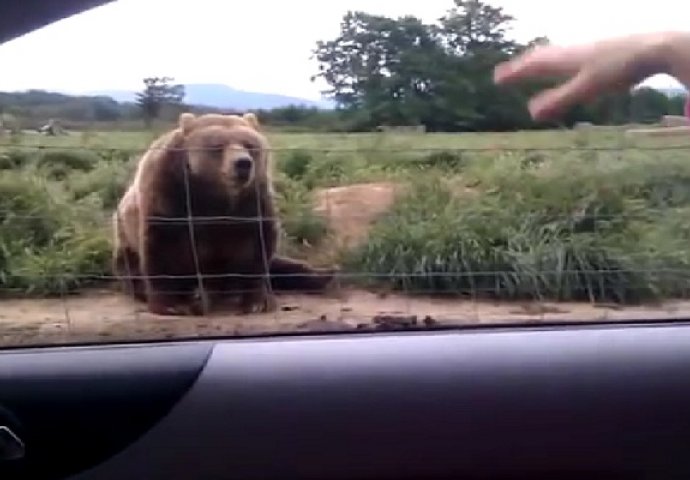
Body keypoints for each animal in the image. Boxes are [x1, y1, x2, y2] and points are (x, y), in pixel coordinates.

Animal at [113, 110, 336, 316]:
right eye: (217, 145)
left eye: (249, 144)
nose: (243, 163)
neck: (216, 195)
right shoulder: (168, 196)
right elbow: (163, 248)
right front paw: (173, 304)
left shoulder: (251, 203)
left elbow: (256, 249)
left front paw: (258, 302)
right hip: (125, 240)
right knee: (132, 268)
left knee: (282, 265)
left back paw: (326, 274)